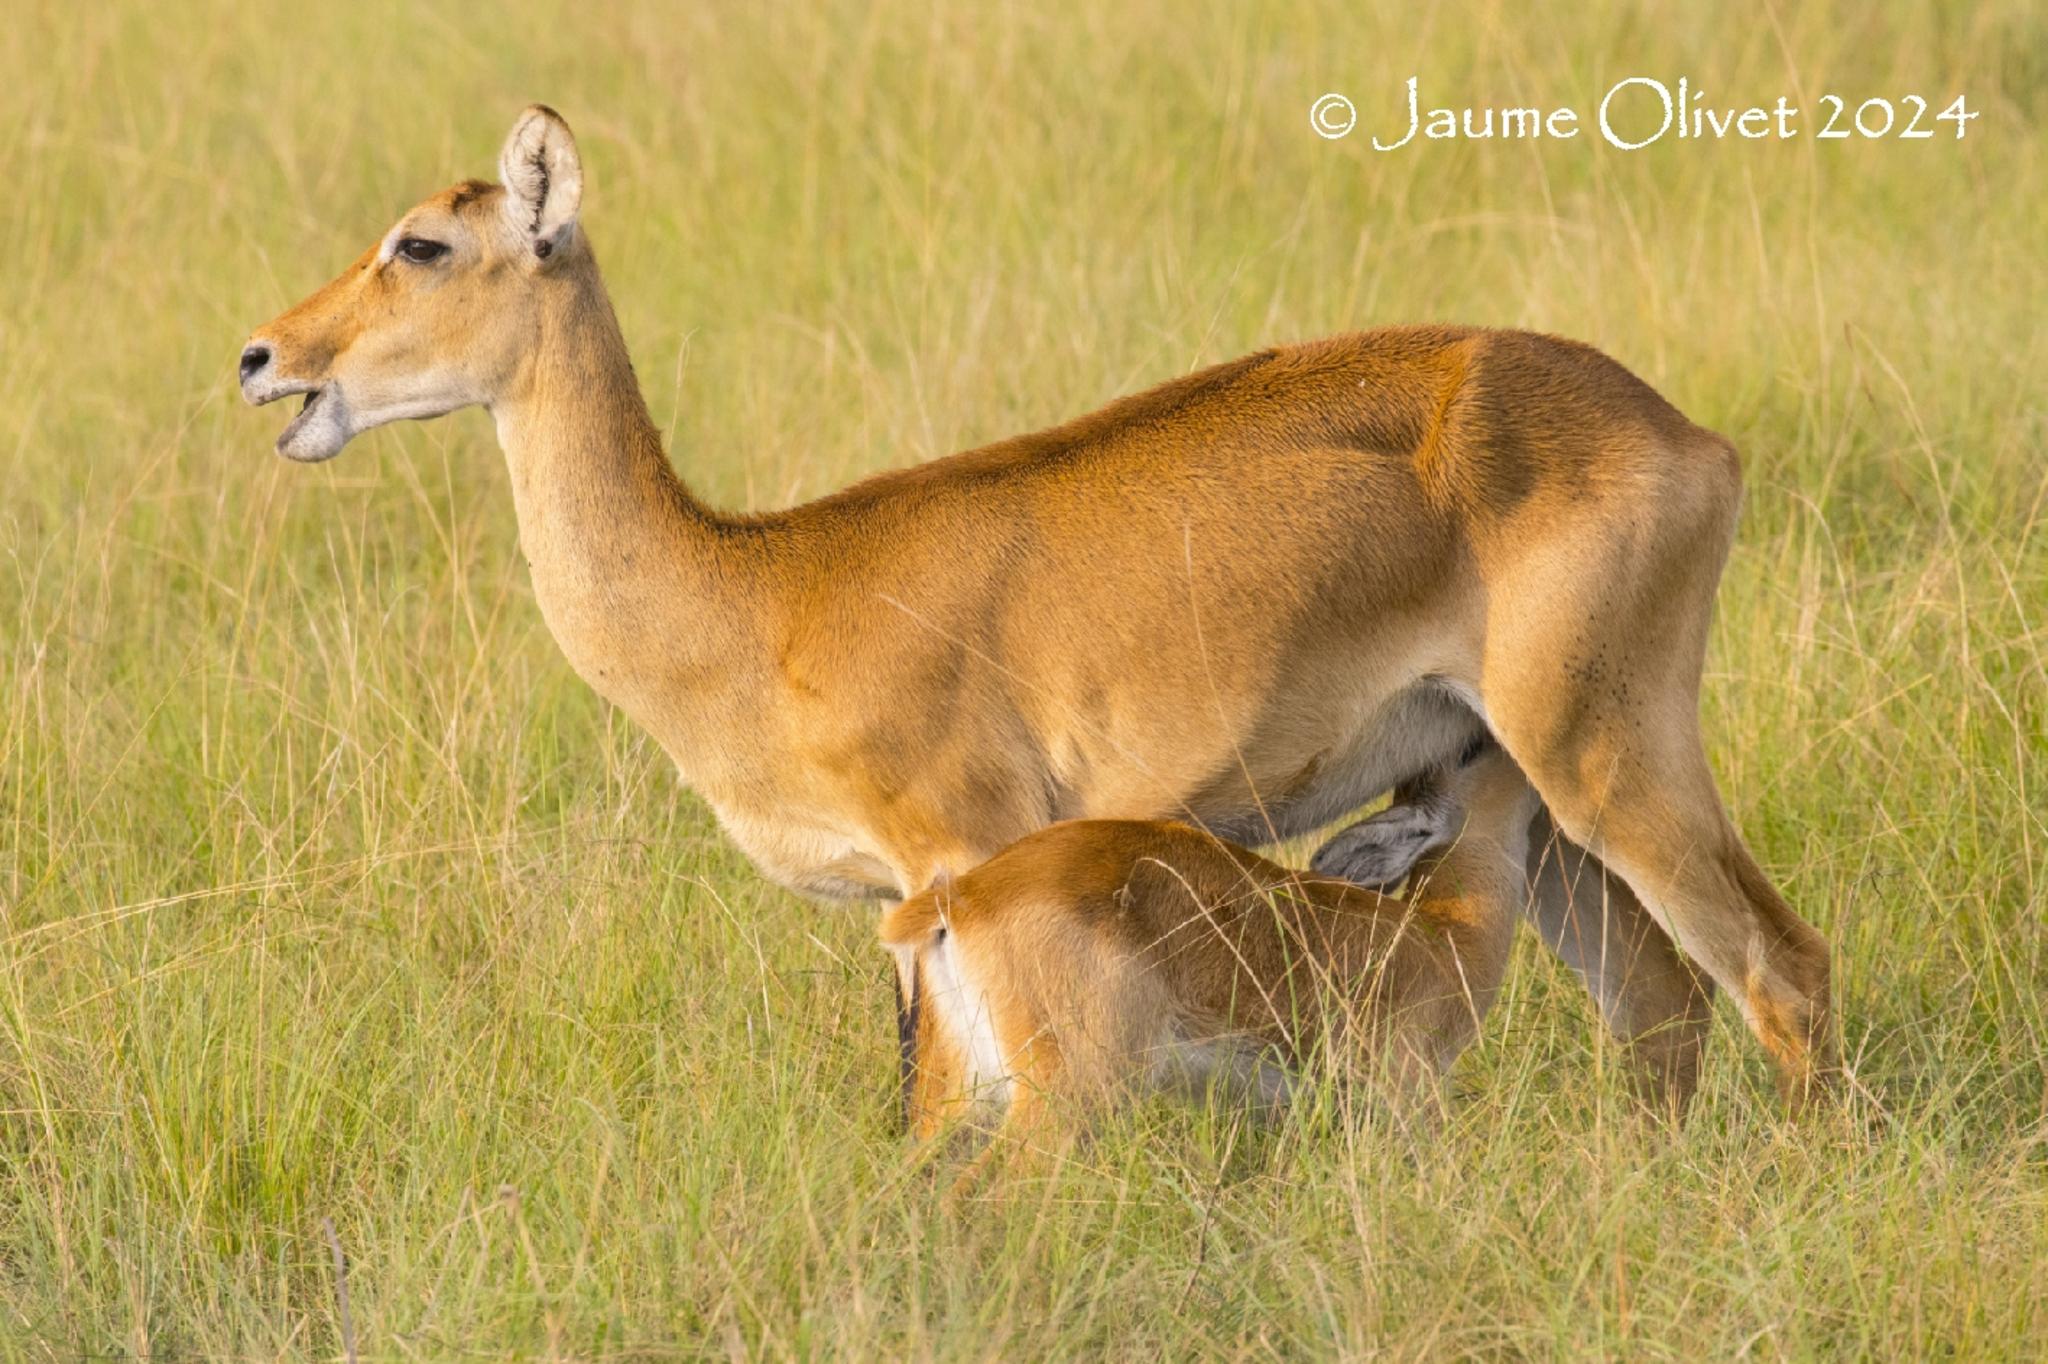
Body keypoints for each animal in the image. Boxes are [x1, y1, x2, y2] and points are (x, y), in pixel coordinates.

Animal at [239, 103, 1843, 1105]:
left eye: (424, 241)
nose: (263, 357)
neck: (759, 591)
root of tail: (1685, 433)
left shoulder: (957, 857)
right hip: (1529, 796)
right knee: (1664, 1008)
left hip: (1611, 760)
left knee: (1784, 970)